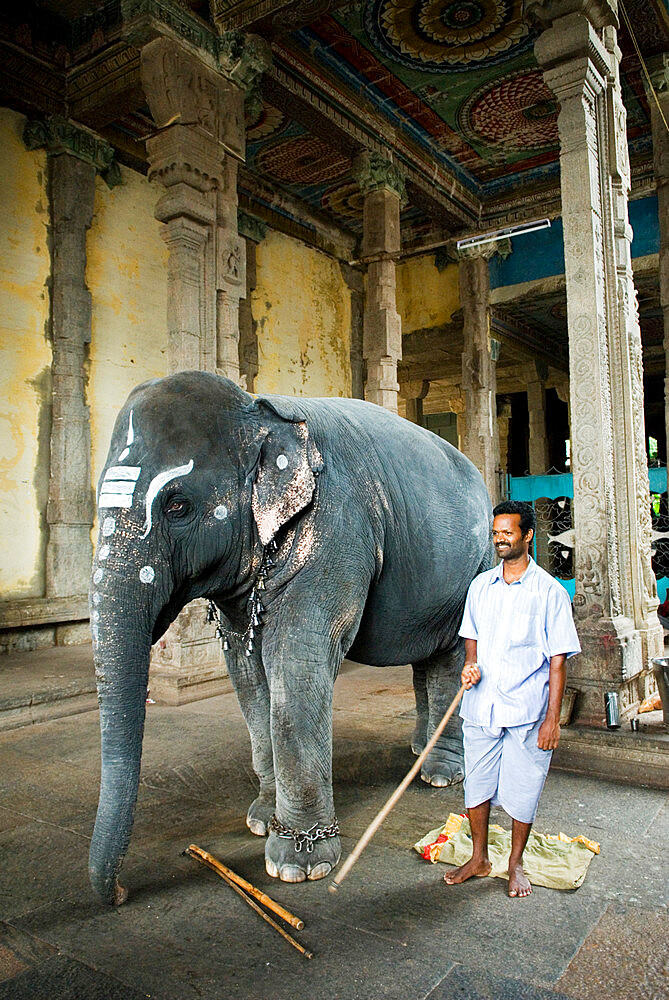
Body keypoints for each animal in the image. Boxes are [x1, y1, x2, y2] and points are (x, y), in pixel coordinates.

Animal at [87, 372, 490, 904]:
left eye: (177, 505)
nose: (120, 894)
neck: (258, 411)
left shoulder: (337, 531)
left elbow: (297, 660)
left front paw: (298, 865)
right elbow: (247, 674)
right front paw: (261, 820)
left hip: (475, 567)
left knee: (451, 658)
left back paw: (440, 775)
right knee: (426, 658)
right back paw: (417, 752)